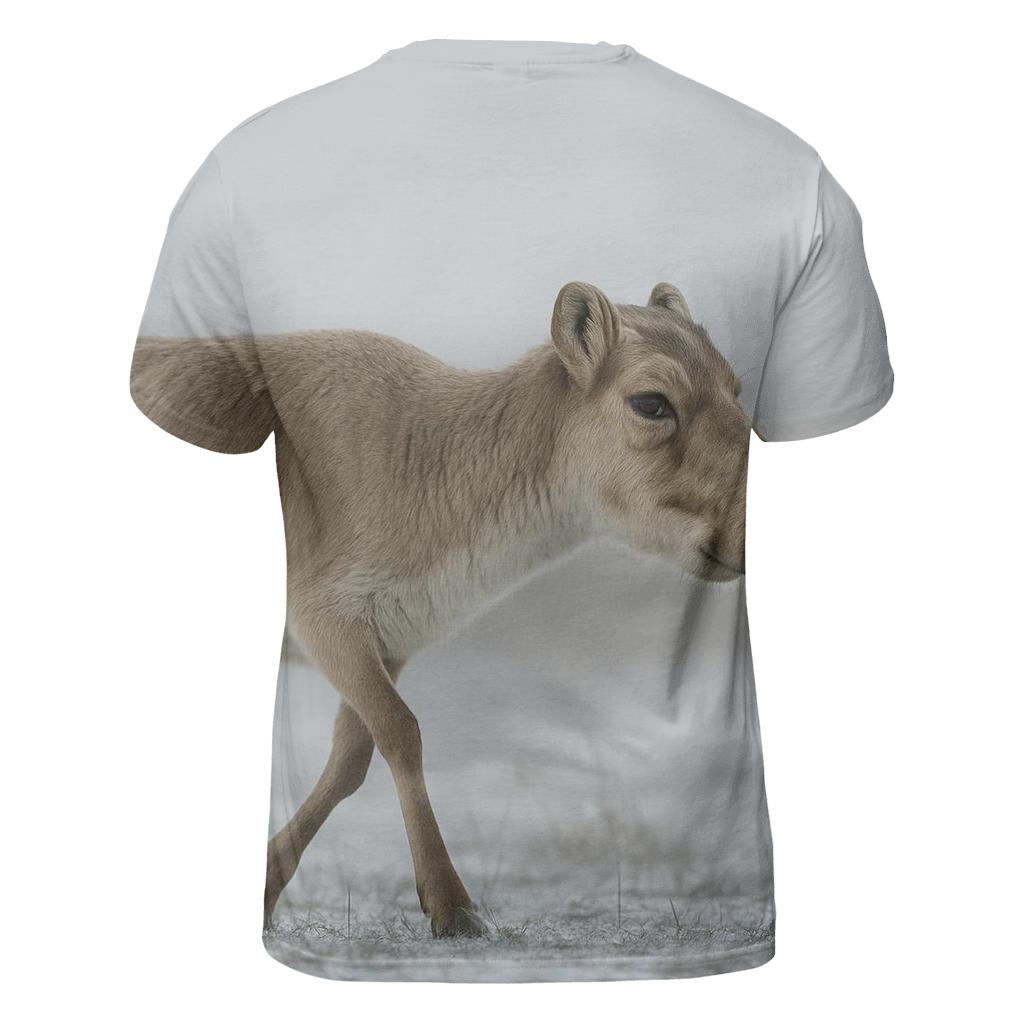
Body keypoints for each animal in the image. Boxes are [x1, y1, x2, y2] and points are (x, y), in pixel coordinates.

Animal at [144, 282, 751, 937]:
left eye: (737, 388)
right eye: (651, 401)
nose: (745, 533)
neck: (426, 458)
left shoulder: (389, 640)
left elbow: (353, 756)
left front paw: (265, 889)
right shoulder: (323, 619)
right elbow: (401, 731)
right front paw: (453, 906)